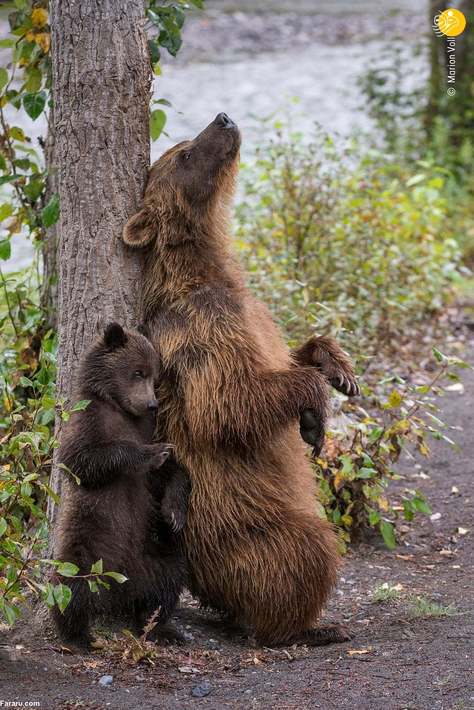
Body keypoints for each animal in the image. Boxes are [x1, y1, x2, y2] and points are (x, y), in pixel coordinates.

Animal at [52, 322, 191, 652]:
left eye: (155, 376)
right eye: (138, 372)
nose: (152, 403)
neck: (119, 408)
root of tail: (119, 585)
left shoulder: (148, 427)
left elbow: (171, 471)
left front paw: (174, 513)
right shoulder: (86, 420)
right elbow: (83, 459)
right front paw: (151, 454)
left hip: (152, 555)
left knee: (168, 580)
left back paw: (160, 627)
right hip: (88, 546)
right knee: (71, 586)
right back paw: (78, 635)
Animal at [123, 112, 360, 652]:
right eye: (186, 154)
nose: (223, 119)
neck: (206, 271)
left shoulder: (254, 314)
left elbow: (288, 353)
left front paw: (338, 370)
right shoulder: (198, 332)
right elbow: (229, 403)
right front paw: (314, 415)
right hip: (242, 529)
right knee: (308, 547)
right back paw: (309, 626)